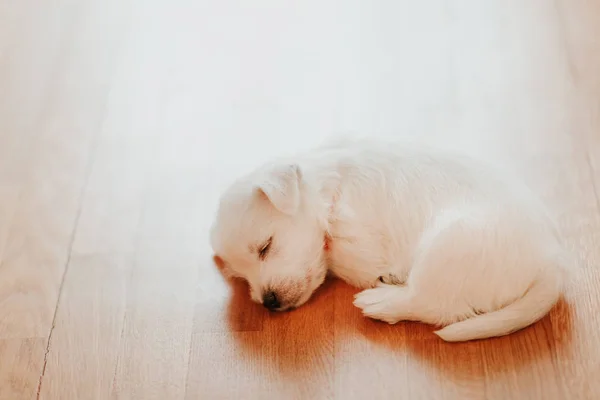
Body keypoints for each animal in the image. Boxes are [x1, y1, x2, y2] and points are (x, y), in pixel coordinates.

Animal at [210, 137, 572, 340]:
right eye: (241, 278)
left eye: (265, 247)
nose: (268, 301)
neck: (330, 190)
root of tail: (552, 263)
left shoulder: (357, 246)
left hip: (447, 246)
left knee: (436, 306)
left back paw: (381, 301)